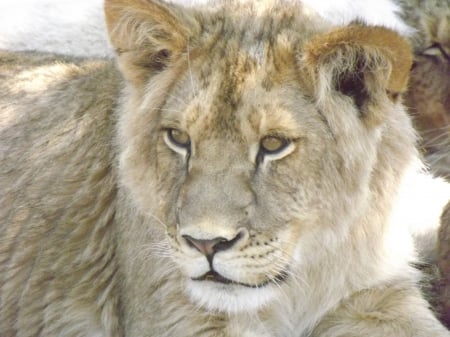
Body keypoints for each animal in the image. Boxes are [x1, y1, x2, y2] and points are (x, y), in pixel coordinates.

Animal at [0, 0, 450, 336]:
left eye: (273, 145)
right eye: (179, 138)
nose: (206, 244)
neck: (298, 282)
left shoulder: (377, 297)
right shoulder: (181, 316)